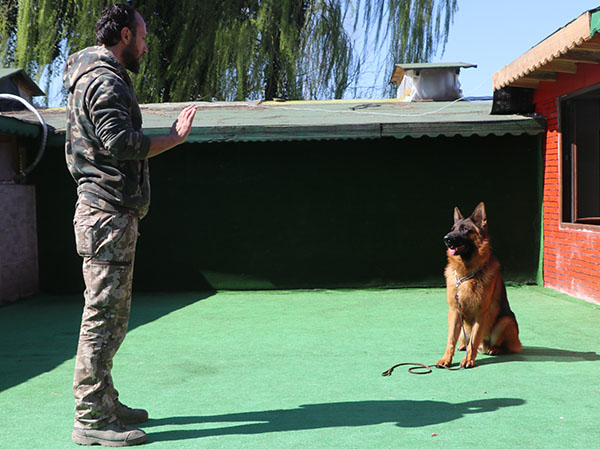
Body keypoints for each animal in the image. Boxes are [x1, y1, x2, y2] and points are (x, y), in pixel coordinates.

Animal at [436, 203, 520, 368]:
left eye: (464, 229)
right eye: (452, 228)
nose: (446, 239)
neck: (466, 276)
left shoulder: (480, 314)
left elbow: (474, 341)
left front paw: (468, 360)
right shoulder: (454, 311)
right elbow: (450, 340)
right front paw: (446, 359)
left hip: (506, 321)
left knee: (500, 344)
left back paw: (495, 349)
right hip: (462, 326)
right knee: (463, 339)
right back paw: (463, 345)